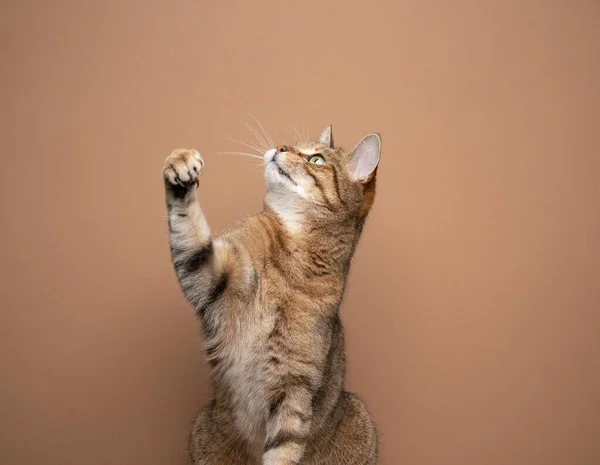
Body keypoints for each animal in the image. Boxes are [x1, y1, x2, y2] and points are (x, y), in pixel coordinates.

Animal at [162, 125, 382, 462]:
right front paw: (181, 164)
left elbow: (283, 451)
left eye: (317, 159)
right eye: (295, 146)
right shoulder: (210, 274)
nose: (281, 147)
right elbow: (188, 228)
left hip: (360, 419)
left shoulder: (294, 390)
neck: (290, 255)